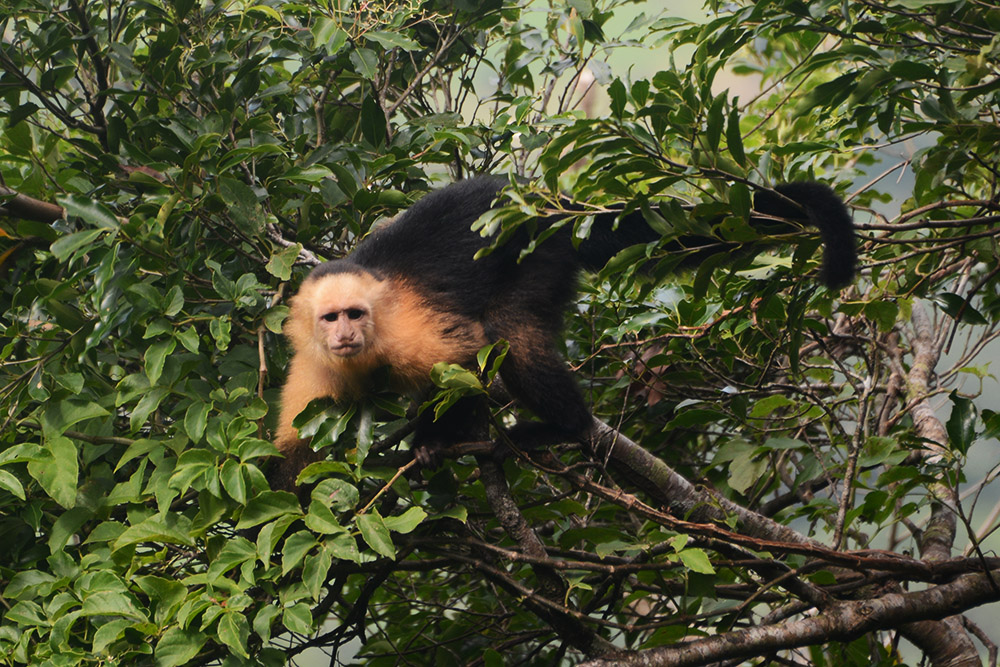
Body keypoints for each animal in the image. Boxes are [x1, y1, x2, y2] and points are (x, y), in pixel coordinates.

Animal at [270, 175, 855, 490]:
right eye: (330, 319)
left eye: (356, 313)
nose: (345, 335)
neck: (367, 351)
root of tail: (554, 204)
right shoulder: (315, 363)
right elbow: (294, 452)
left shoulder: (403, 332)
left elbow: (465, 358)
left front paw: (435, 441)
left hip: (538, 252)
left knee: (511, 333)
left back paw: (565, 425)